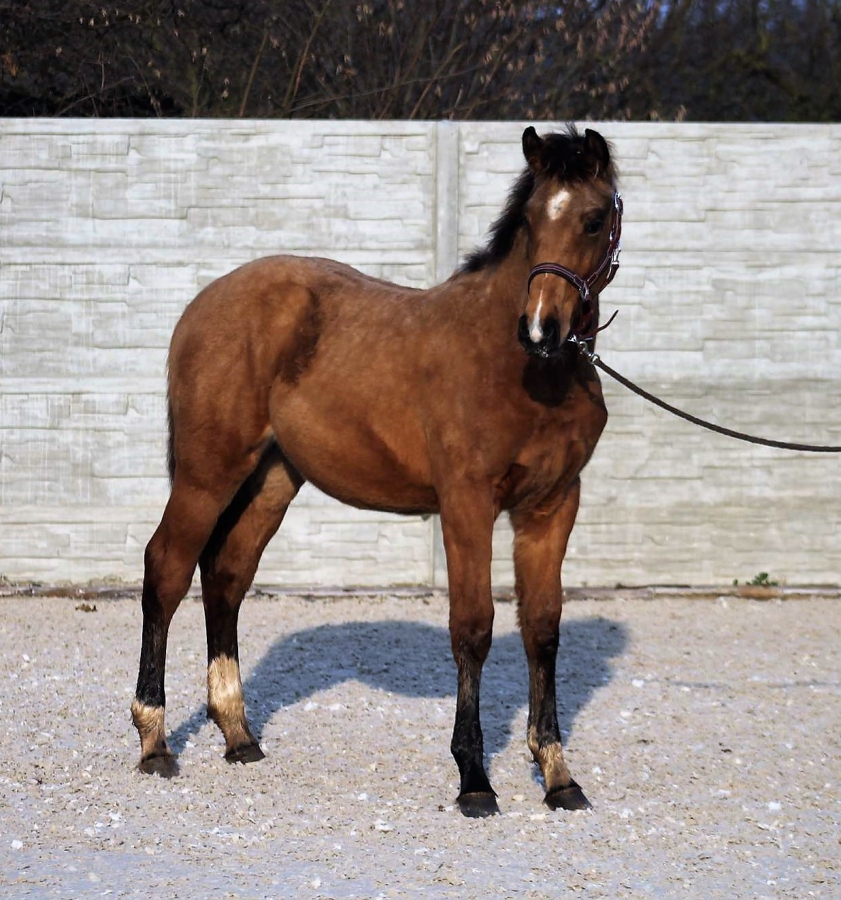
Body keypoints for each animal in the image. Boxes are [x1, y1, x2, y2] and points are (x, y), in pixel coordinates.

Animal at [131, 124, 622, 817]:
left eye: (593, 218)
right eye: (528, 218)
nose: (541, 329)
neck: (527, 374)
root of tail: (203, 304)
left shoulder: (552, 505)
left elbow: (542, 629)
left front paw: (558, 776)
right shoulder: (467, 501)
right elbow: (473, 627)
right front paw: (474, 779)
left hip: (273, 478)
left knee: (225, 575)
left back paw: (238, 734)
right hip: (209, 472)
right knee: (168, 568)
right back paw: (154, 740)